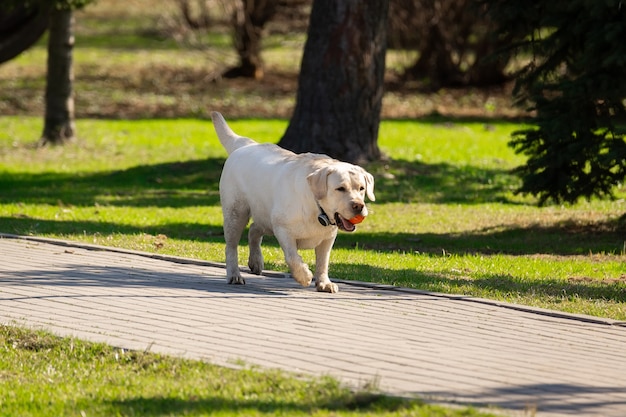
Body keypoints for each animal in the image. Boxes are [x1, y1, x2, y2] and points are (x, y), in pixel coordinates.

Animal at [212, 111, 372, 292]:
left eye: (361, 188)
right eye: (340, 188)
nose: (359, 206)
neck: (317, 208)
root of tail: (244, 145)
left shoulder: (328, 238)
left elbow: (323, 261)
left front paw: (324, 283)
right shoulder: (283, 229)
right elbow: (292, 256)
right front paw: (304, 276)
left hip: (265, 217)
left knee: (254, 229)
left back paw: (256, 261)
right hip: (237, 213)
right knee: (231, 246)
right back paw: (234, 275)